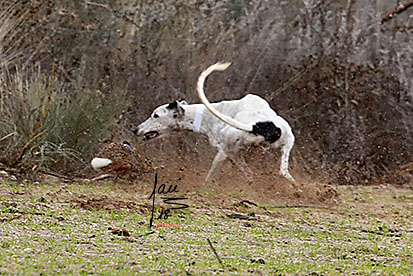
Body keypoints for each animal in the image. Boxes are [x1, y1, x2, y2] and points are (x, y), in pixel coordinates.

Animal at [134, 62, 294, 181]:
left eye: (155, 115)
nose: (136, 129)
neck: (208, 116)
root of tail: (257, 126)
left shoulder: (223, 153)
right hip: (288, 141)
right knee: (283, 172)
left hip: (229, 150)